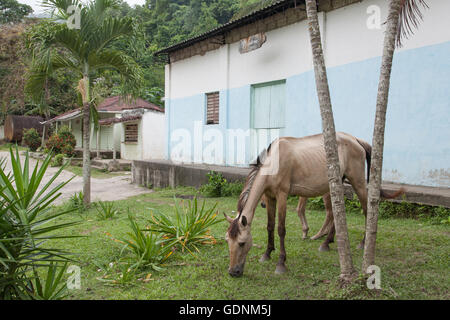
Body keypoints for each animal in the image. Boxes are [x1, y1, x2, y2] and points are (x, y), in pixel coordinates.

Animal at [223, 132, 402, 278]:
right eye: (227, 241)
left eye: (242, 243)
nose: (233, 272)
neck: (274, 162)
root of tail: (356, 140)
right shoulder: (269, 196)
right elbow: (270, 226)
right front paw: (267, 254)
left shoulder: (282, 195)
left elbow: (281, 229)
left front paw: (281, 263)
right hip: (336, 183)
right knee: (337, 213)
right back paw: (326, 243)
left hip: (357, 182)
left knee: (366, 210)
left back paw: (363, 243)